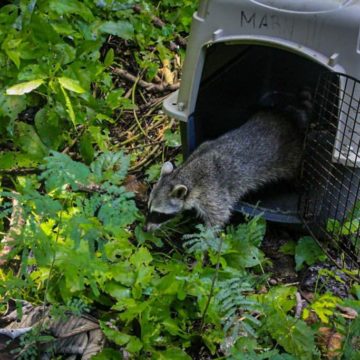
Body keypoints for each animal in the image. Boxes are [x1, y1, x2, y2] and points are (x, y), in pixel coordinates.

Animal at [145, 97, 310, 231]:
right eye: (149, 208)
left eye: (158, 214)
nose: (147, 229)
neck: (185, 173)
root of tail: (288, 119)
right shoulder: (201, 147)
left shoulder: (211, 193)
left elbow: (219, 217)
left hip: (293, 155)